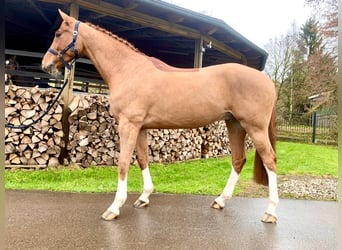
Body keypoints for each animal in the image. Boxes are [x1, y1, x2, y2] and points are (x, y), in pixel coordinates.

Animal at [41, 10, 280, 224]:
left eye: (59, 33)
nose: (46, 65)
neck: (128, 70)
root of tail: (266, 80)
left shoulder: (128, 125)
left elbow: (123, 163)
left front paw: (114, 207)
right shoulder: (141, 128)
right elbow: (143, 159)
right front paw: (144, 197)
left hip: (254, 127)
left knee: (270, 160)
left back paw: (270, 212)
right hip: (235, 124)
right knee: (238, 159)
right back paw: (220, 200)